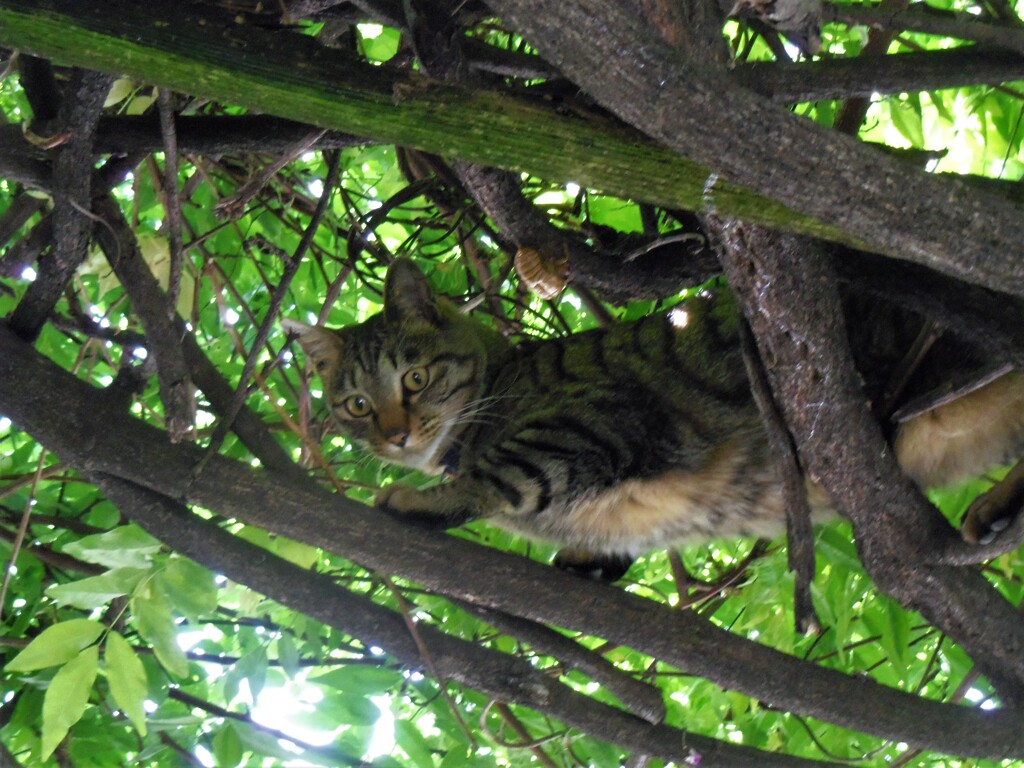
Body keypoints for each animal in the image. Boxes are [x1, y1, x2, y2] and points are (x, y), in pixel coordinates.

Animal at [284, 259, 1024, 577]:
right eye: (356, 404)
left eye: (414, 378)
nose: (395, 435)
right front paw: (591, 558)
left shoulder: (594, 417)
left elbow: (504, 473)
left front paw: (422, 497)